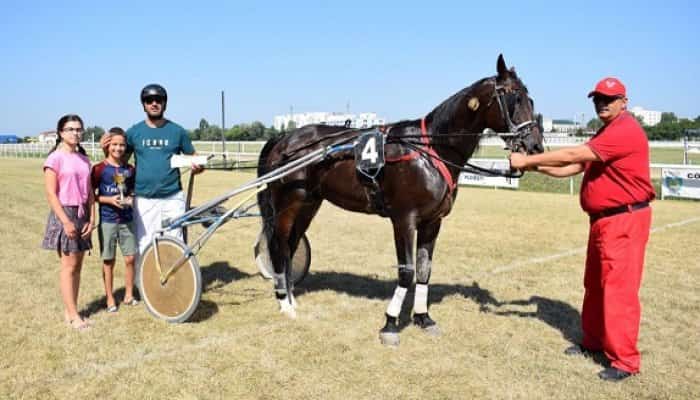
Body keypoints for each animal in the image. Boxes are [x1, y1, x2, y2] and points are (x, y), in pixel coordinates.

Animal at [254, 54, 544, 346]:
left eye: (530, 99)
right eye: (514, 97)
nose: (535, 146)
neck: (429, 150)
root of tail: (284, 138)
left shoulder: (432, 222)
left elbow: (424, 269)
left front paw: (423, 318)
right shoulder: (404, 220)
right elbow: (407, 271)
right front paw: (390, 323)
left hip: (309, 204)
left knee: (291, 246)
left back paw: (291, 297)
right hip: (288, 204)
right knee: (278, 245)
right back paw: (285, 303)